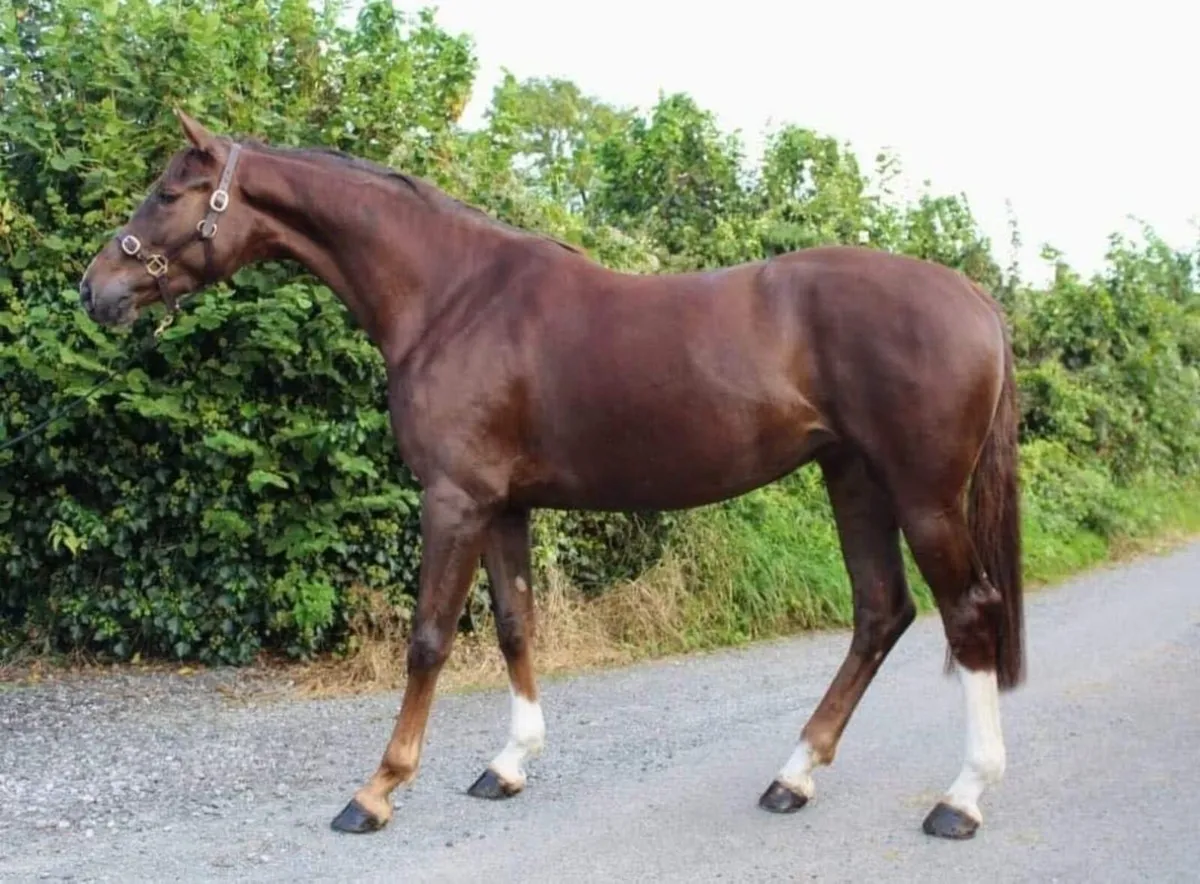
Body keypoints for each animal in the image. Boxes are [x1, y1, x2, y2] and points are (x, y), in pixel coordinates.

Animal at [79, 110, 1025, 841]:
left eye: (169, 193)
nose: (96, 289)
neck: (453, 297)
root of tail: (975, 298)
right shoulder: (504, 507)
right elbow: (513, 625)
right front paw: (507, 765)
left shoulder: (453, 501)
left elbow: (428, 639)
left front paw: (376, 792)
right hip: (852, 479)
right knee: (881, 613)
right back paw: (793, 777)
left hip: (923, 495)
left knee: (969, 614)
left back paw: (962, 799)